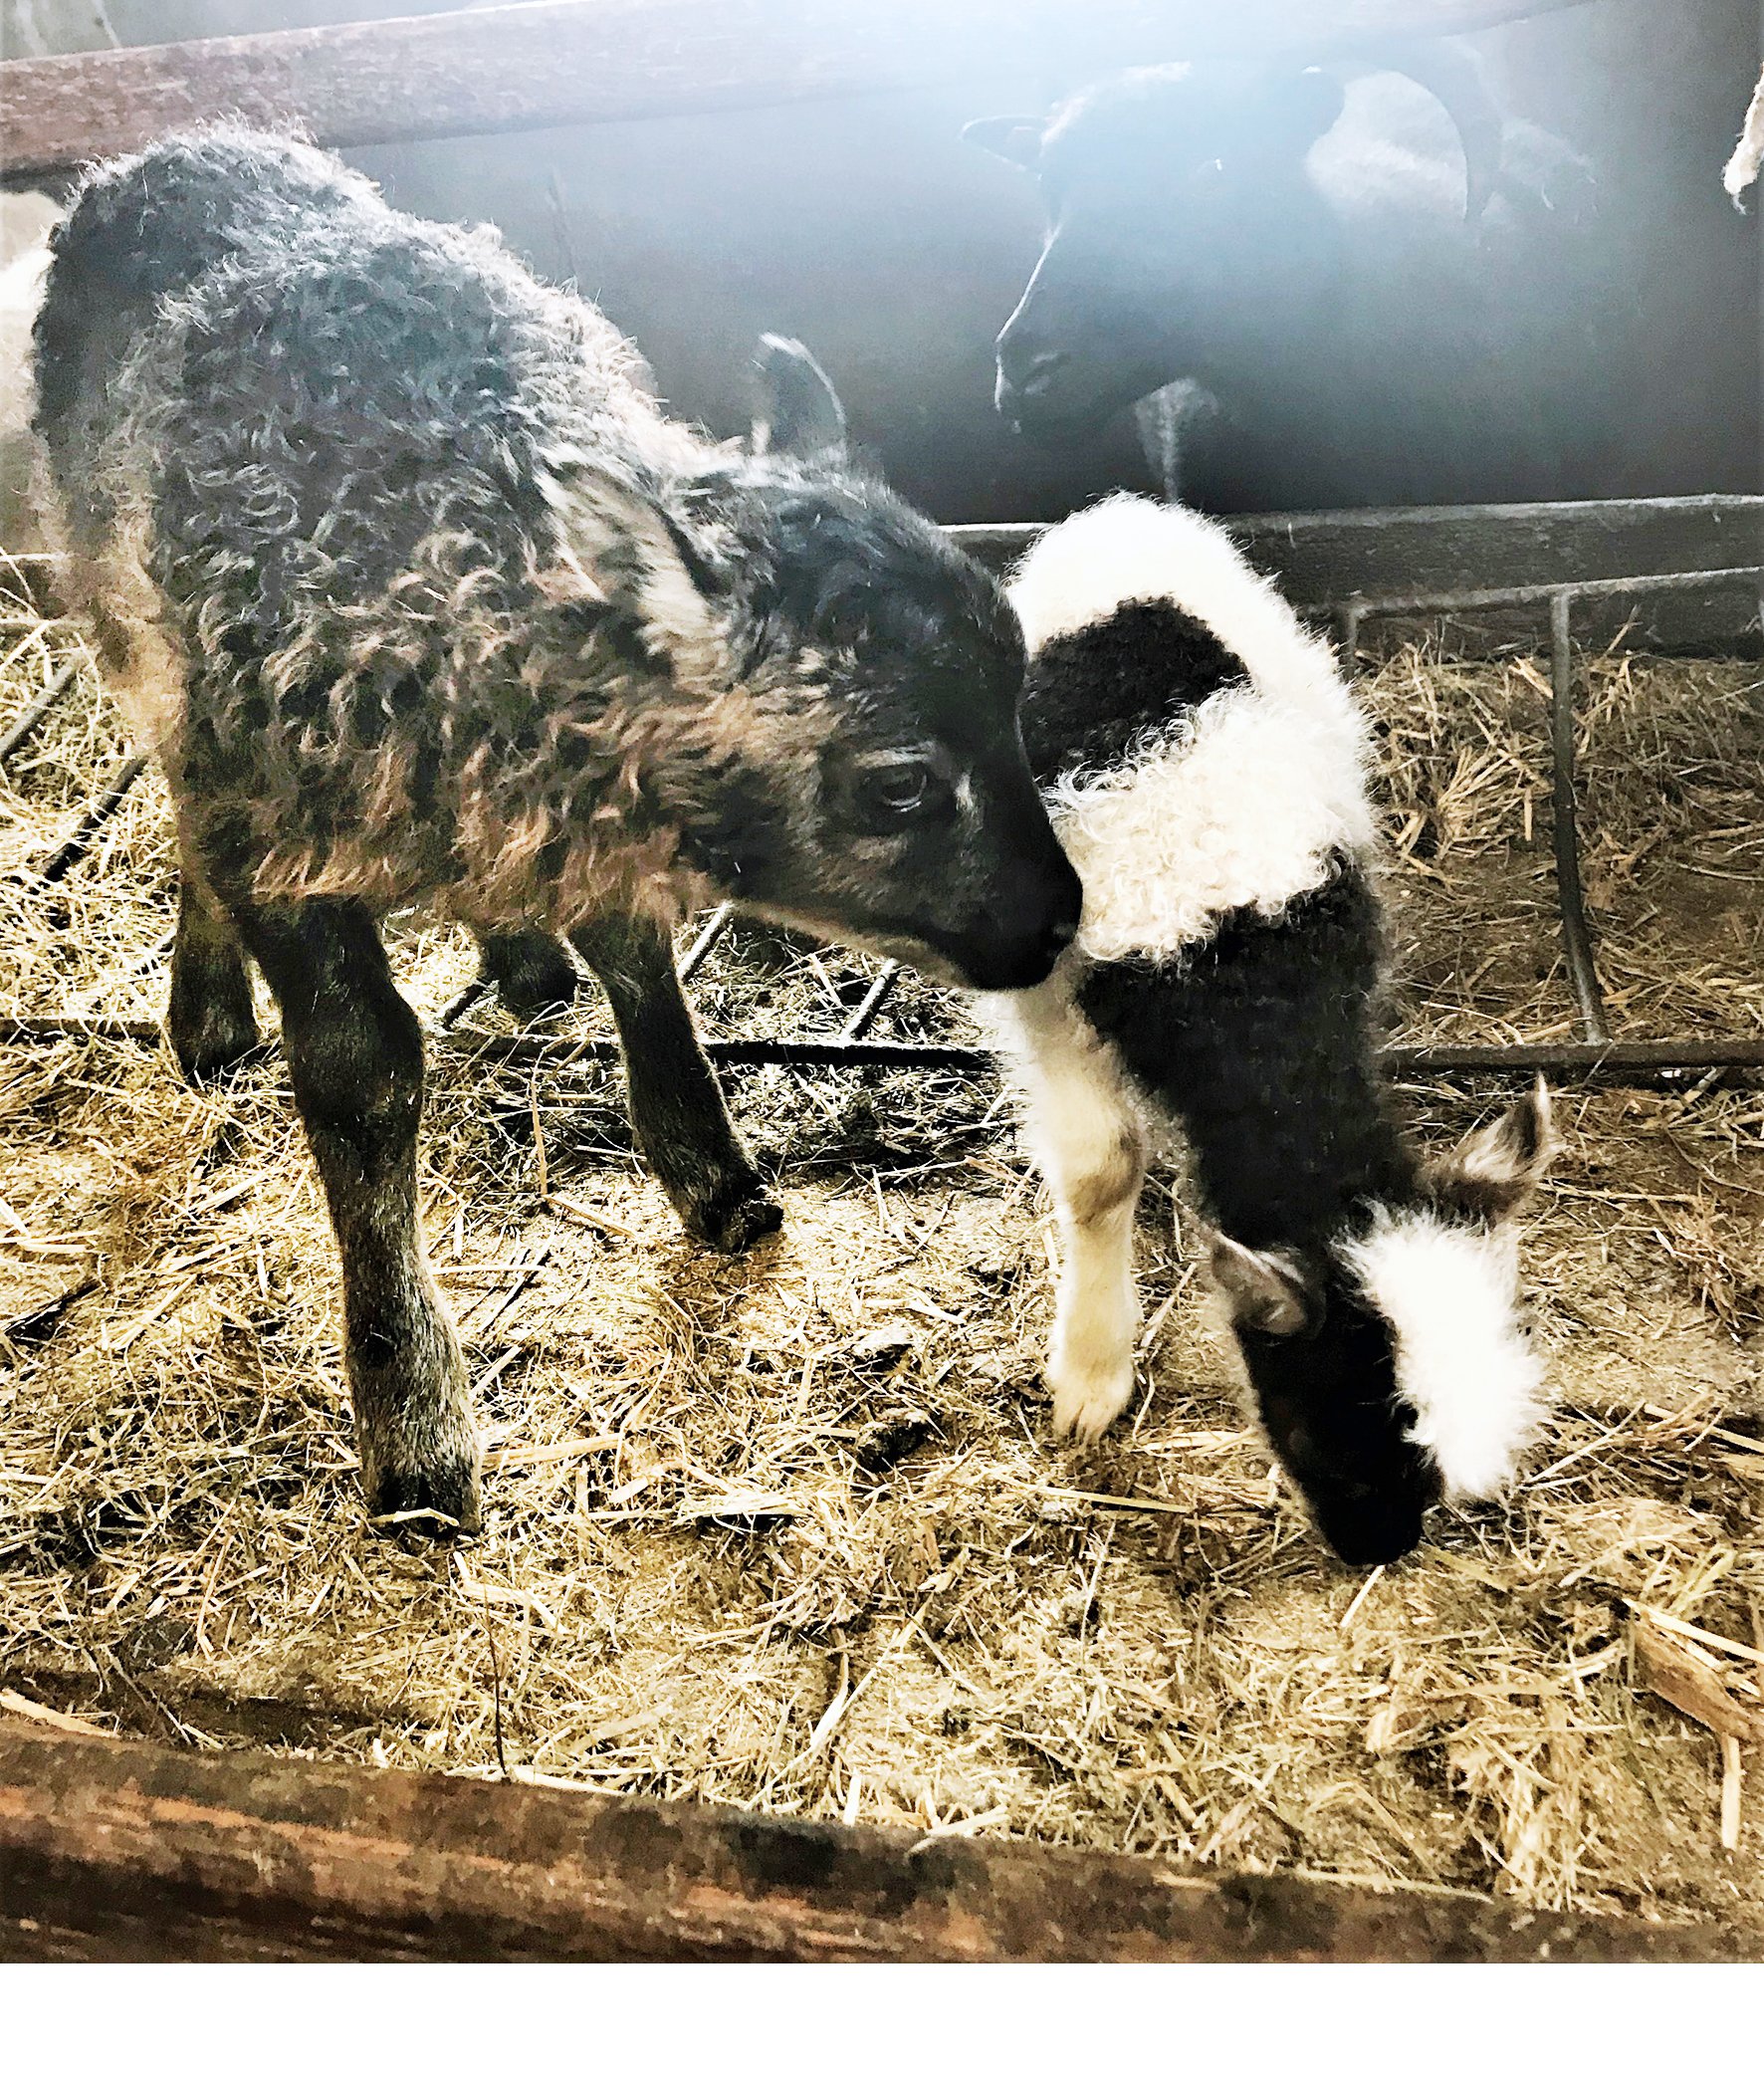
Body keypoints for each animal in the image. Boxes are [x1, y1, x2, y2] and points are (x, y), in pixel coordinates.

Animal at [29, 127, 1081, 1537]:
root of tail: (171, 149)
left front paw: (712, 1173)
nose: (1057, 919)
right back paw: (207, 1013)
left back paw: (517, 959)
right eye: (898, 784)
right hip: (123, 621)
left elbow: (639, 963)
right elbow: (360, 1076)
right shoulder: (272, 814)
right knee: (173, 786)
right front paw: (411, 1420)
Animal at [984, 494, 1557, 1565]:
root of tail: (1118, 513)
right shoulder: (1051, 990)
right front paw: (1090, 1375)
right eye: (1328, 1438)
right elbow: (1101, 1167)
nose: (1376, 1549)